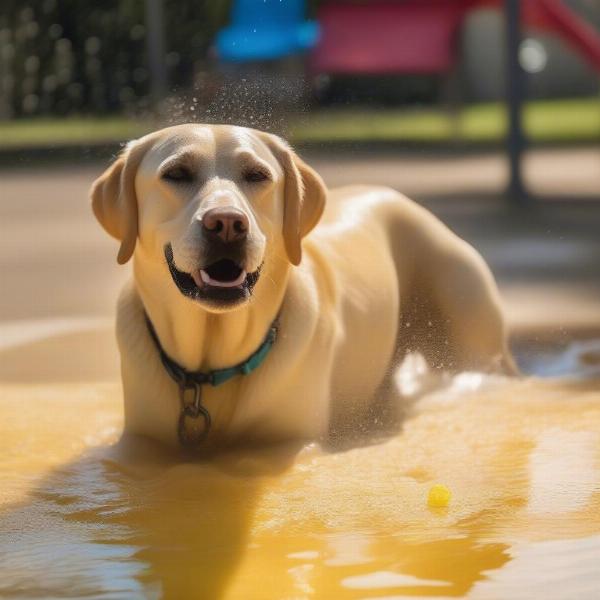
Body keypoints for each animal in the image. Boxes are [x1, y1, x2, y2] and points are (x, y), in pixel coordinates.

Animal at [91, 123, 512, 450]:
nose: (227, 224)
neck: (211, 369)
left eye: (257, 174)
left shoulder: (290, 443)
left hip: (471, 343)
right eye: (177, 173)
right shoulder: (142, 441)